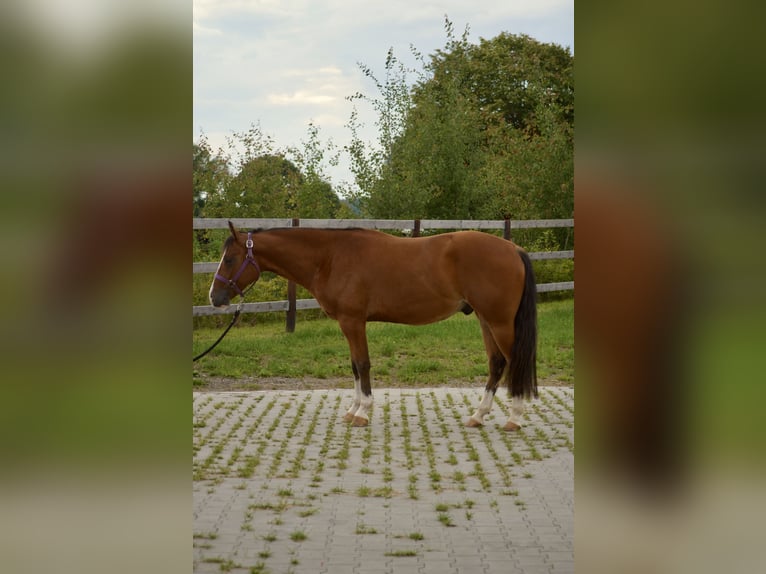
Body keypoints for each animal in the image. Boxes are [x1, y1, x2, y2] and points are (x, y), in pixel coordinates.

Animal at [209, 221, 538, 429]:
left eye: (230, 259)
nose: (215, 297)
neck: (330, 258)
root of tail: (514, 249)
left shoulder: (353, 321)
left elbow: (363, 365)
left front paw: (363, 413)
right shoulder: (349, 324)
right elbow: (355, 366)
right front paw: (353, 409)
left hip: (499, 322)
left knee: (514, 361)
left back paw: (515, 418)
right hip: (485, 319)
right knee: (496, 363)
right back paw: (478, 416)